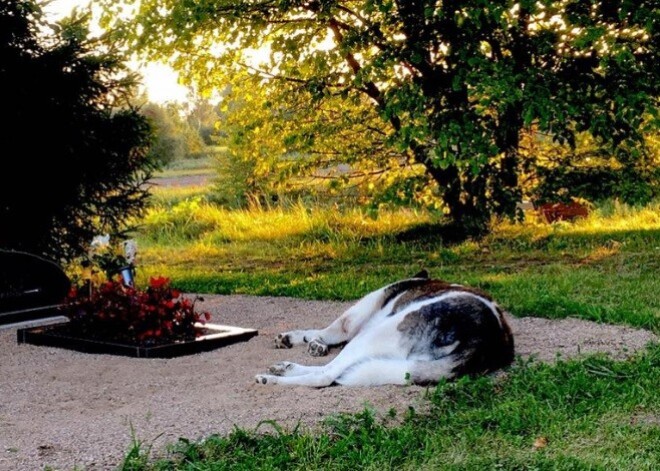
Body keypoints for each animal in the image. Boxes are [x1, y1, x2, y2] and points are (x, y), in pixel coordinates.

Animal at [255, 272, 512, 388]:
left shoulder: (352, 320)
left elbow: (327, 331)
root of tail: (486, 338)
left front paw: (301, 339)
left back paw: (273, 378)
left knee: (326, 375)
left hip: (372, 335)